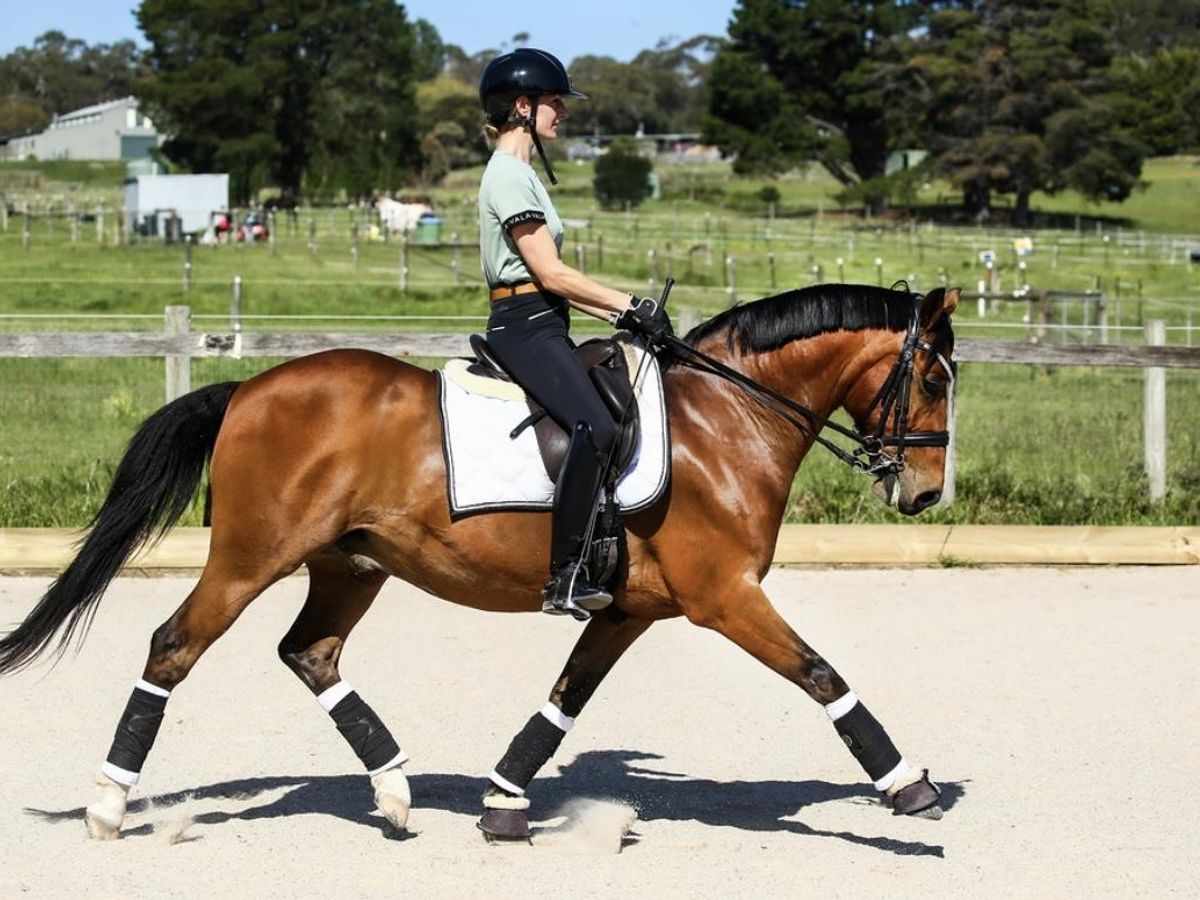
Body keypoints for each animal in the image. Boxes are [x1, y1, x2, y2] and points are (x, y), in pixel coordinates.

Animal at [0, 282, 959, 841]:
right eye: (936, 380)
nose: (923, 494)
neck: (725, 420)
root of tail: (249, 388)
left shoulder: (628, 609)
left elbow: (564, 700)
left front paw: (502, 800)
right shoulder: (724, 595)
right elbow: (823, 674)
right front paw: (908, 786)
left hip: (351, 565)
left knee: (311, 653)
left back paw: (395, 792)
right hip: (251, 557)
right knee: (174, 647)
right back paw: (107, 805)